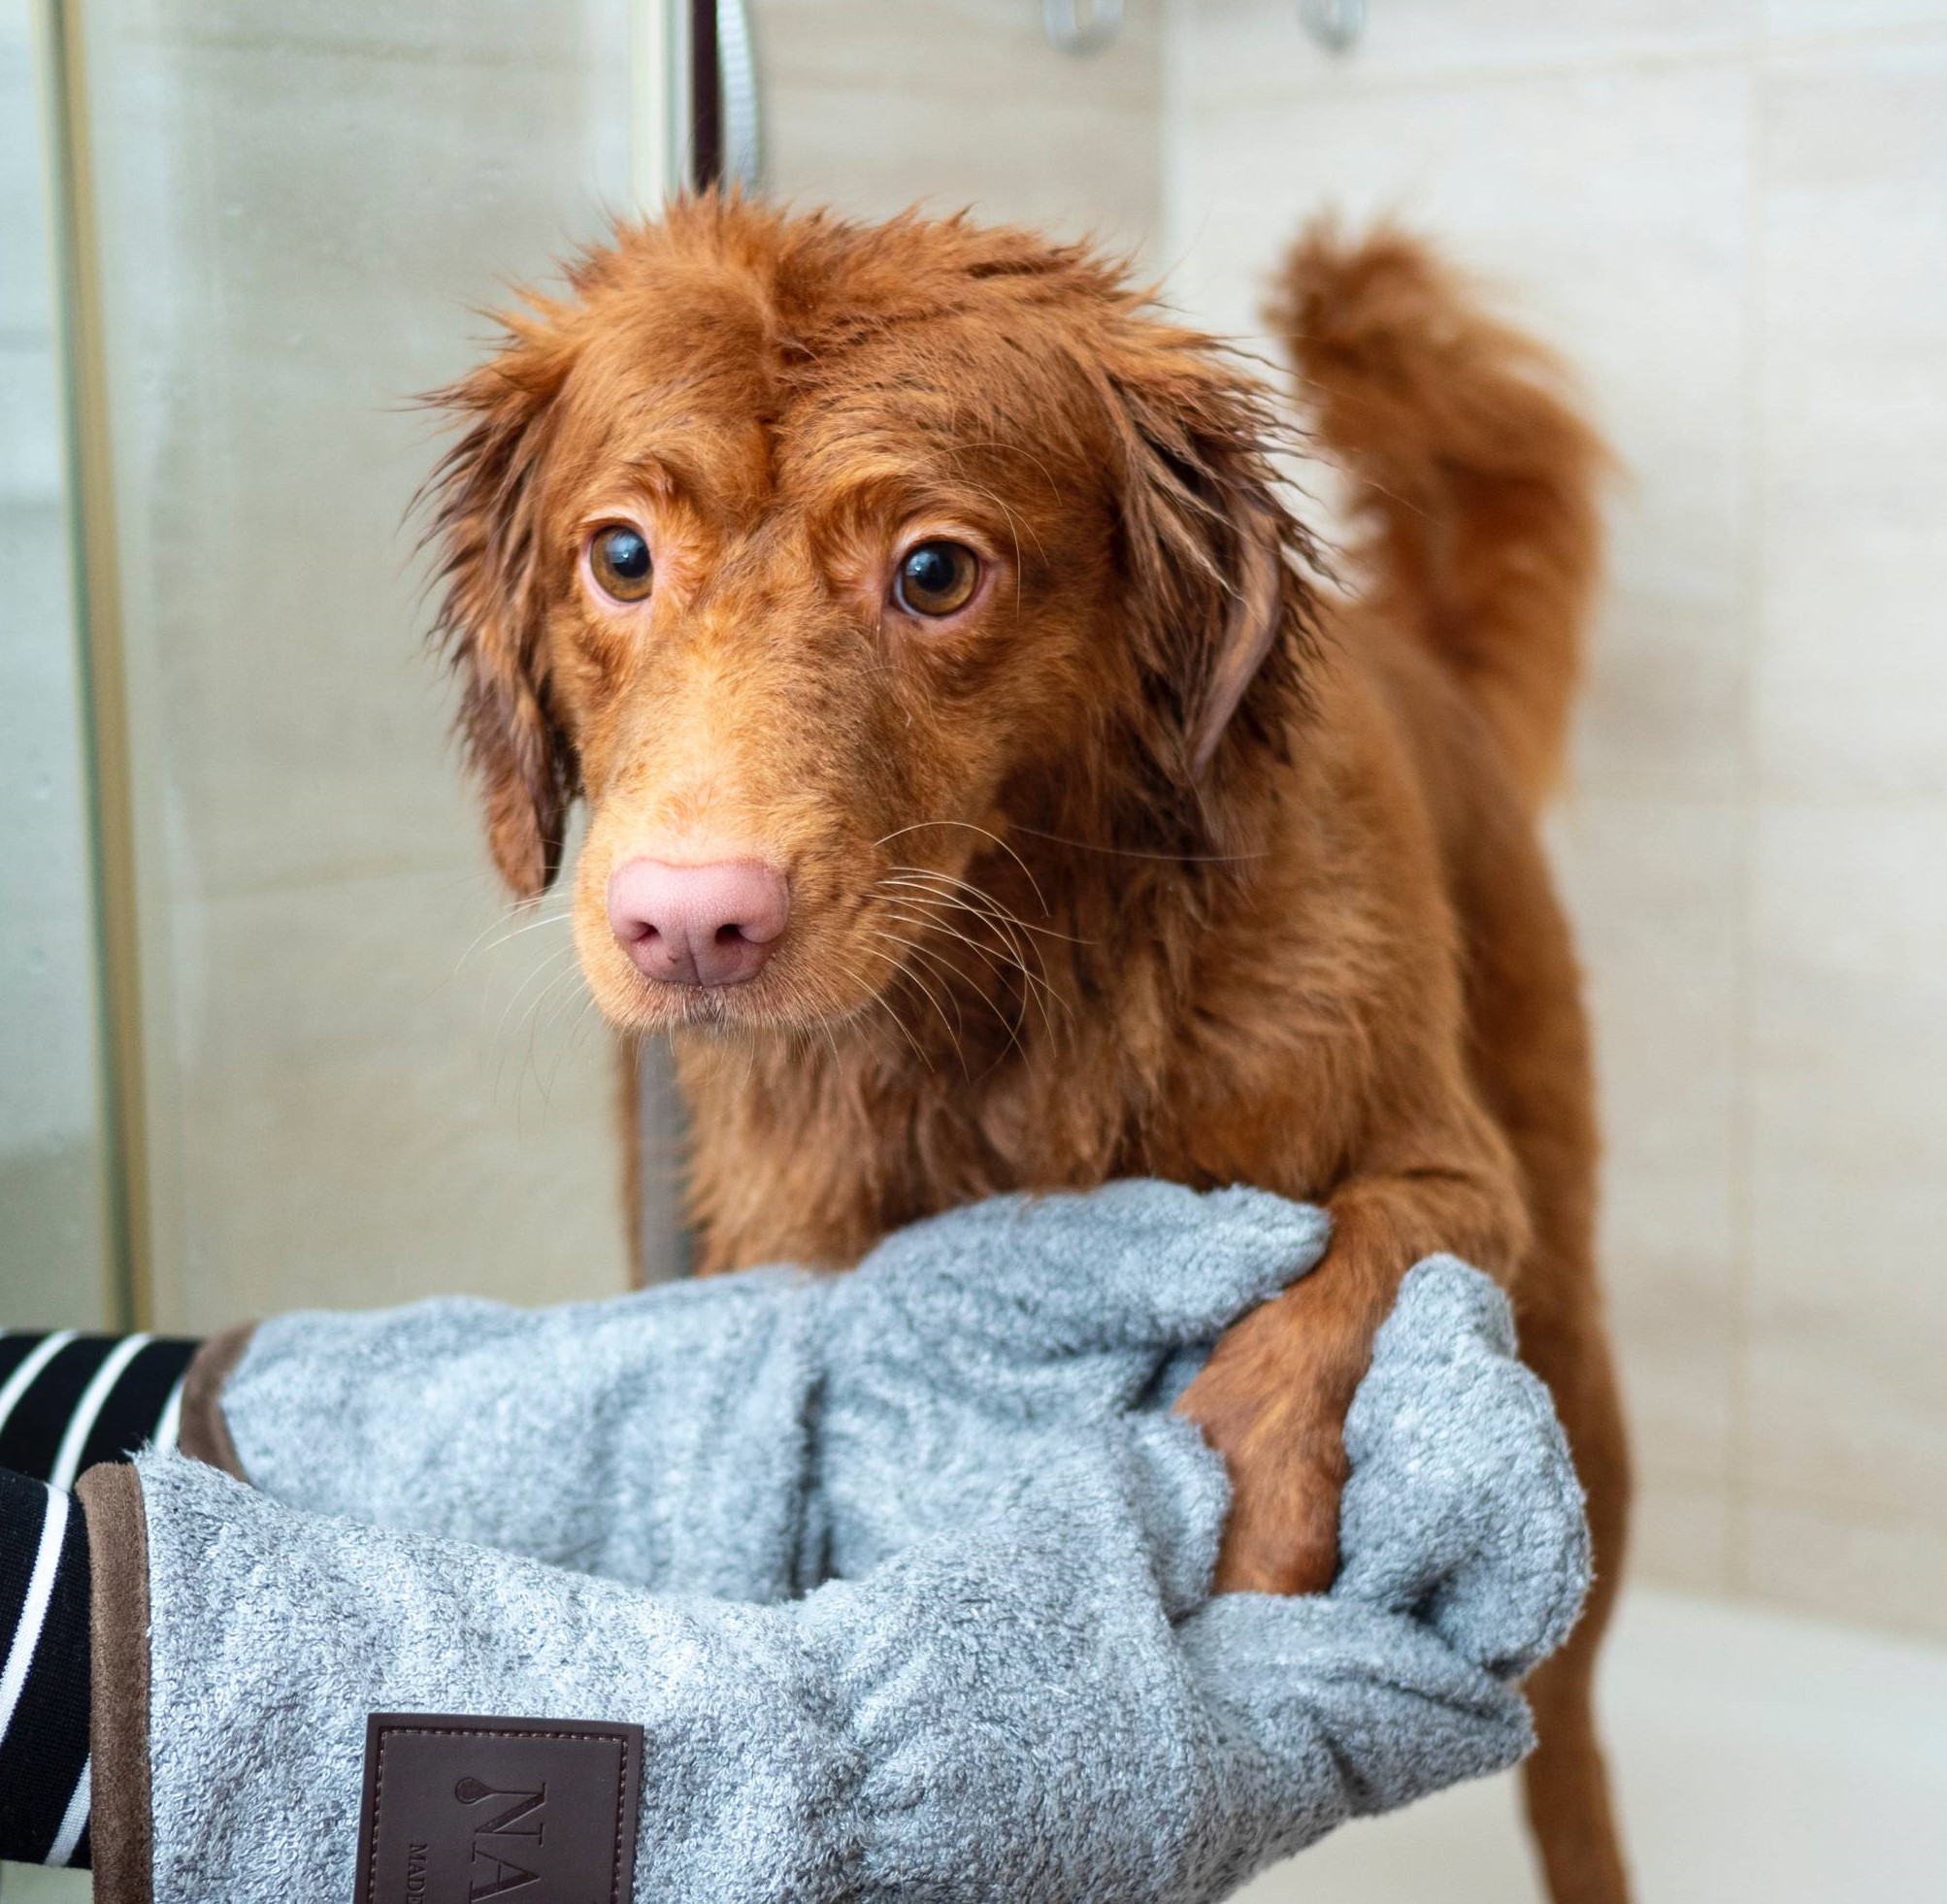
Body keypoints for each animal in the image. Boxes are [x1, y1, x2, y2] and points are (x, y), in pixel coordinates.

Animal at [434, 204, 1635, 1899]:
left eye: (935, 572)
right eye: (620, 557)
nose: (691, 923)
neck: (1002, 1015)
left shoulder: (1450, 1169)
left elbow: (1346, 1272)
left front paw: (1242, 1512)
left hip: (1576, 1330)